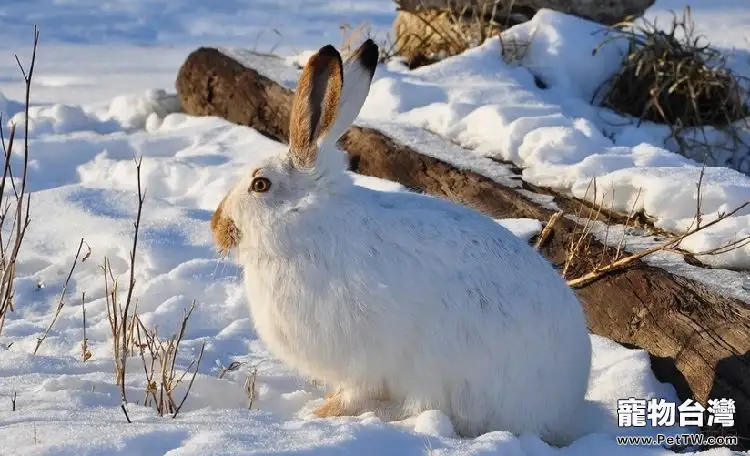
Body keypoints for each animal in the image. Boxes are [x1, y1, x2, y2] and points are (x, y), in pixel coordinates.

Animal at [212, 39, 592, 446]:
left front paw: (321, 414)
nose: (216, 228)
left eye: (260, 185)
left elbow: (354, 391)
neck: (307, 225)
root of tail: (565, 406)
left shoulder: (363, 359)